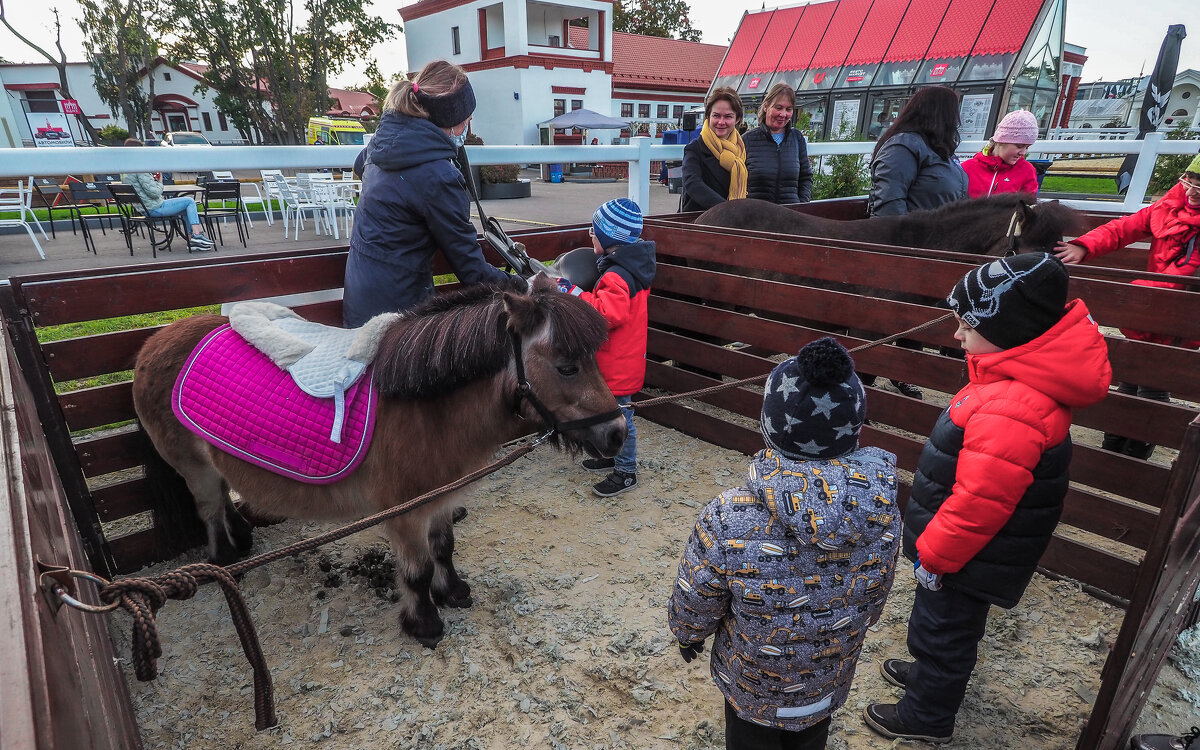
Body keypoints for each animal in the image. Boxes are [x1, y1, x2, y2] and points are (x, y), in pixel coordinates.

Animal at [136, 274, 628, 643]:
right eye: (567, 367)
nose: (618, 433)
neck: (425, 411)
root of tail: (156, 340)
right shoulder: (406, 514)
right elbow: (417, 571)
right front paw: (424, 624)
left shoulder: (440, 499)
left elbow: (444, 549)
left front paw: (454, 592)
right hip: (194, 469)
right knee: (210, 510)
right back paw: (224, 560)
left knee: (224, 496)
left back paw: (241, 540)